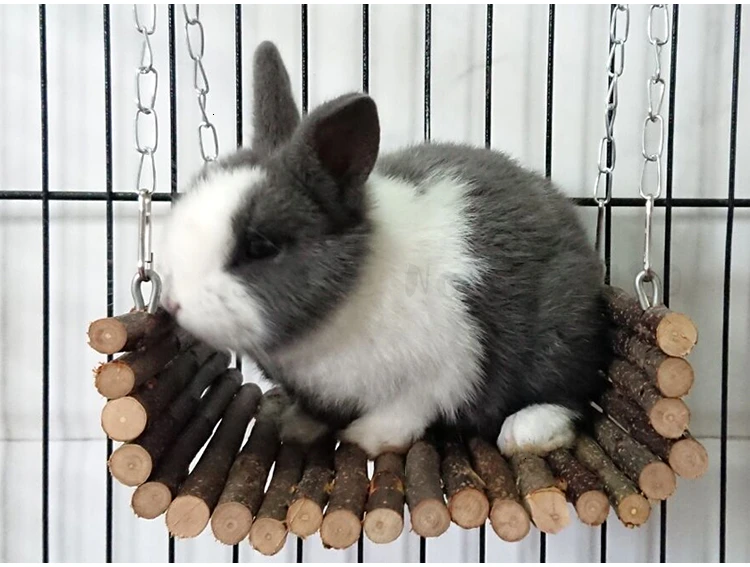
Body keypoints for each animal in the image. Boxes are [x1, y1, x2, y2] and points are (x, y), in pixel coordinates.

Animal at [156, 40, 612, 459]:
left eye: (260, 246)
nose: (173, 304)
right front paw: (297, 427)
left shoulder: (444, 369)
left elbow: (406, 411)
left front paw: (366, 437)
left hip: (560, 338)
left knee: (570, 393)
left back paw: (525, 432)